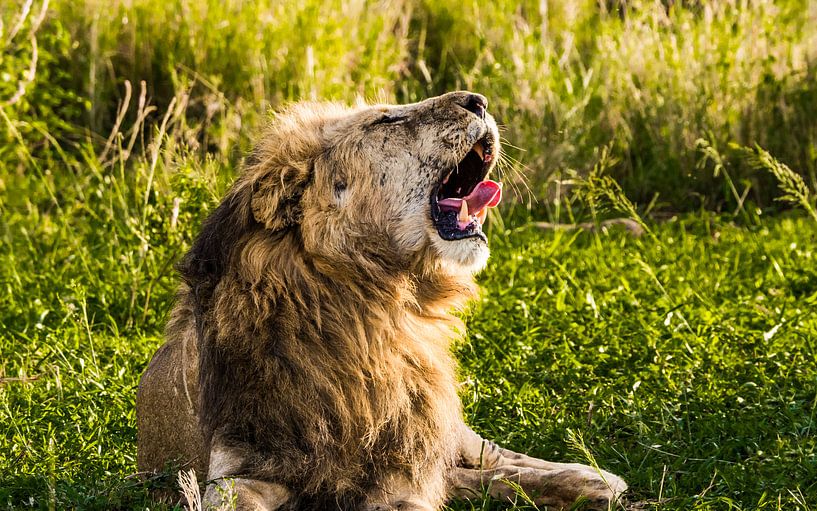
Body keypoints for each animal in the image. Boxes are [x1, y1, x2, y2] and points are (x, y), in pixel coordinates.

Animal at [136, 91, 627, 510]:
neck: (370, 312)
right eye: (385, 120)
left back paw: (595, 479)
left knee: (491, 457)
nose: (479, 101)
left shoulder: (404, 463)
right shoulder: (240, 468)